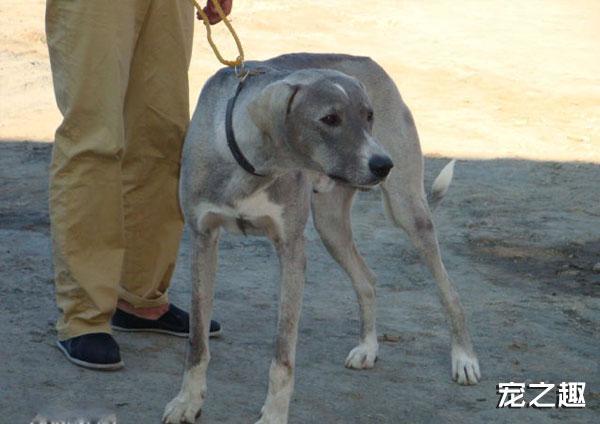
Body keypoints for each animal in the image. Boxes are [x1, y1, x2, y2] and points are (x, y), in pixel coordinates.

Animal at [162, 53, 480, 424]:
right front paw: (187, 401)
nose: (383, 164)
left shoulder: (291, 250)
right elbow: (197, 340)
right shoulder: (203, 239)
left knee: (449, 291)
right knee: (367, 280)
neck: (248, 166)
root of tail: (370, 62)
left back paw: (464, 358)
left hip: (409, 213)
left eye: (369, 115)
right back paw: (368, 347)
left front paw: (273, 415)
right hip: (331, 225)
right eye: (329, 119)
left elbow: (283, 354)